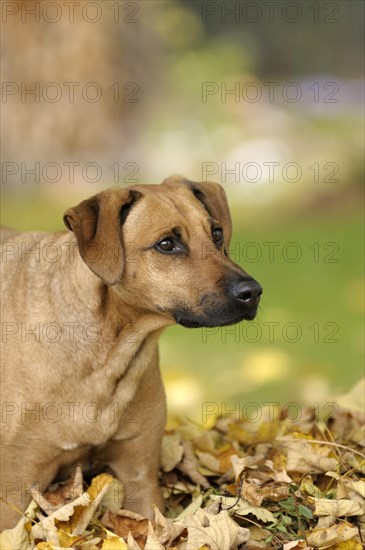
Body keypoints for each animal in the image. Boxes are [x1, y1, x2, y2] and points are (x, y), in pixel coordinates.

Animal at [0, 177, 262, 532]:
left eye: (217, 233)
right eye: (167, 244)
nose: (253, 292)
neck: (110, 351)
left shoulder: (139, 475)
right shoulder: (14, 488)